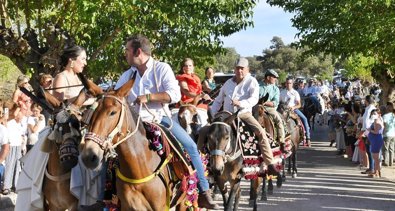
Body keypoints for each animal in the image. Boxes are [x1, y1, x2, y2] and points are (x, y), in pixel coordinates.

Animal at [79, 78, 190, 211]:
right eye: (90, 114)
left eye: (113, 112)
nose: (89, 156)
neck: (138, 171)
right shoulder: (126, 206)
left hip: (183, 201)